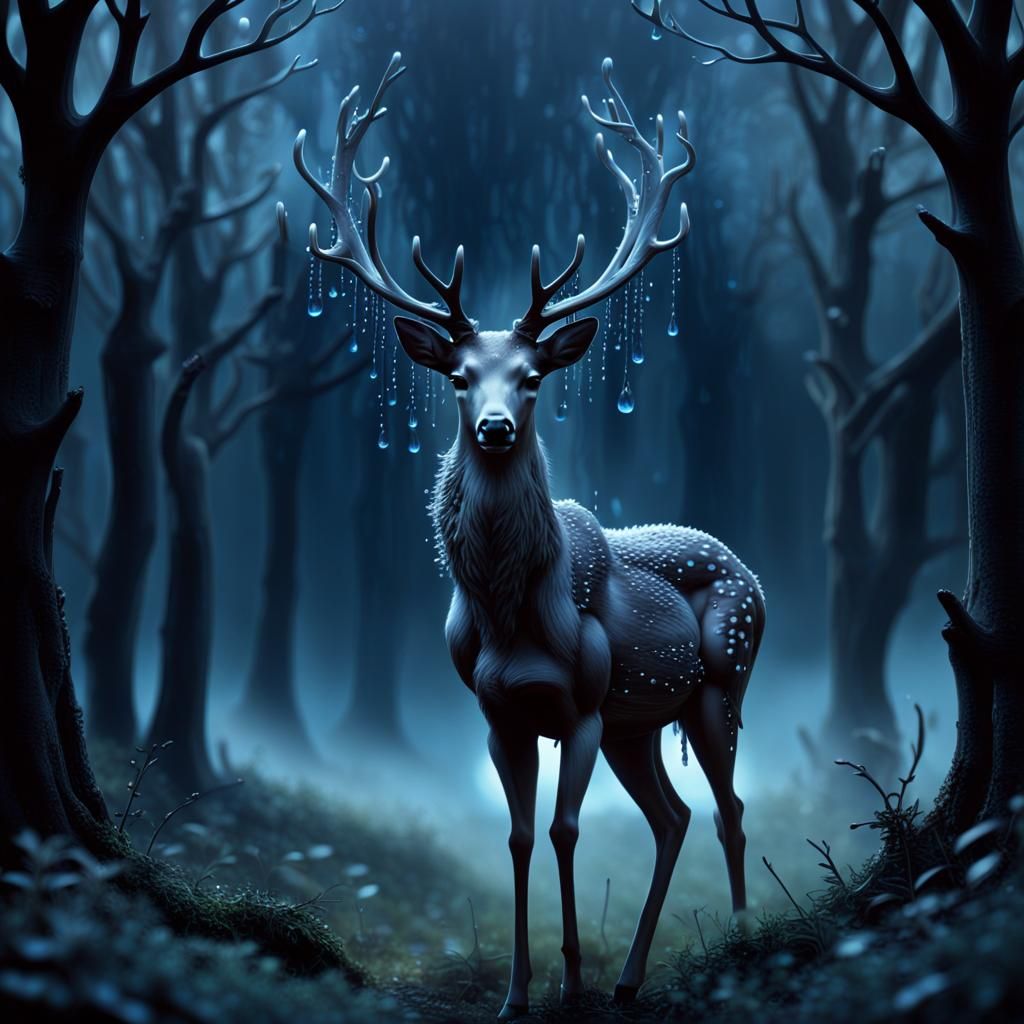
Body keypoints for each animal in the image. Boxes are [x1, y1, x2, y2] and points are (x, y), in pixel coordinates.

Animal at [295, 53, 765, 1020]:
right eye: (460, 376)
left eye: (535, 376)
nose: (497, 427)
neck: (513, 615)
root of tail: (752, 572)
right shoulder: (498, 712)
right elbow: (515, 836)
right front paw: (519, 990)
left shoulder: (580, 705)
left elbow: (565, 827)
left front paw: (570, 980)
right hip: (638, 720)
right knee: (673, 817)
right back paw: (630, 978)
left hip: (720, 678)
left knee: (729, 808)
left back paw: (731, 945)